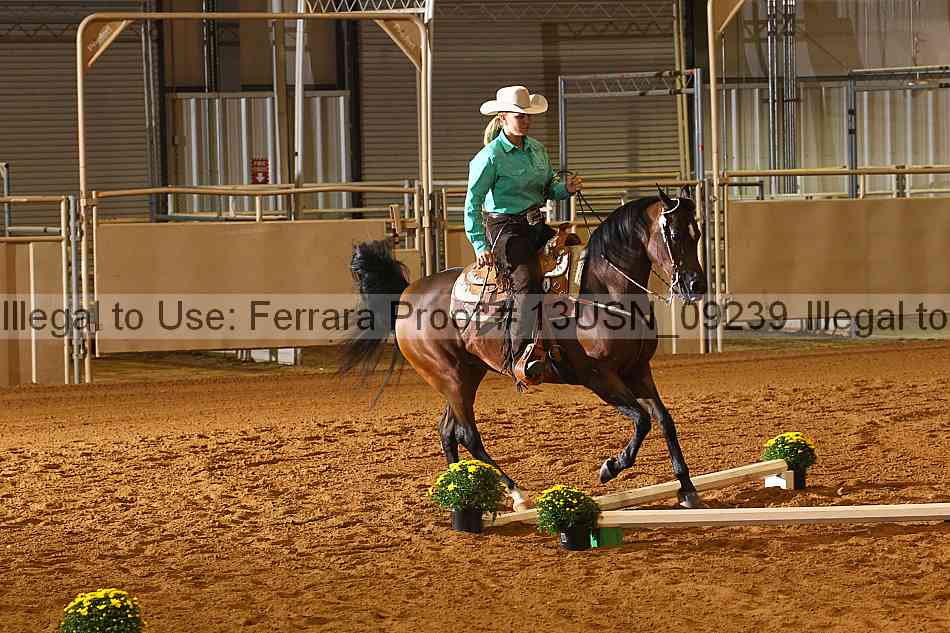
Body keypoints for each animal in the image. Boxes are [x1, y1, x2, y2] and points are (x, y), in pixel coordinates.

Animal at [340, 187, 708, 510]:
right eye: (675, 235)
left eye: (698, 233)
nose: (696, 285)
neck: (604, 297)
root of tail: (407, 293)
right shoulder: (599, 378)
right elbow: (642, 419)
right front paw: (609, 468)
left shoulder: (638, 370)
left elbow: (664, 420)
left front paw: (688, 490)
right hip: (449, 377)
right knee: (467, 434)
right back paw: (515, 493)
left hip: (465, 374)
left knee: (448, 431)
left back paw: (460, 494)